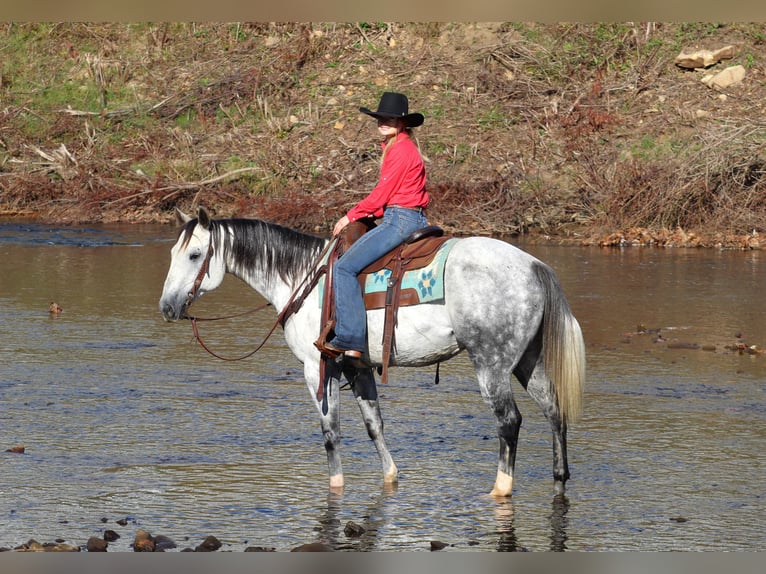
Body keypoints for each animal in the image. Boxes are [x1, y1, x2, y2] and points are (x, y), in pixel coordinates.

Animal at [158, 208, 588, 500]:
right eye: (173, 254)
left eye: (194, 255)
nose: (167, 306)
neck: (303, 277)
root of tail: (533, 265)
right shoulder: (358, 367)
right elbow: (374, 426)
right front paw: (391, 477)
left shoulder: (318, 368)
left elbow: (331, 433)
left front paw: (336, 485)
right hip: (527, 360)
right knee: (554, 411)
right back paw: (560, 477)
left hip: (491, 363)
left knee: (509, 421)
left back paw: (501, 488)